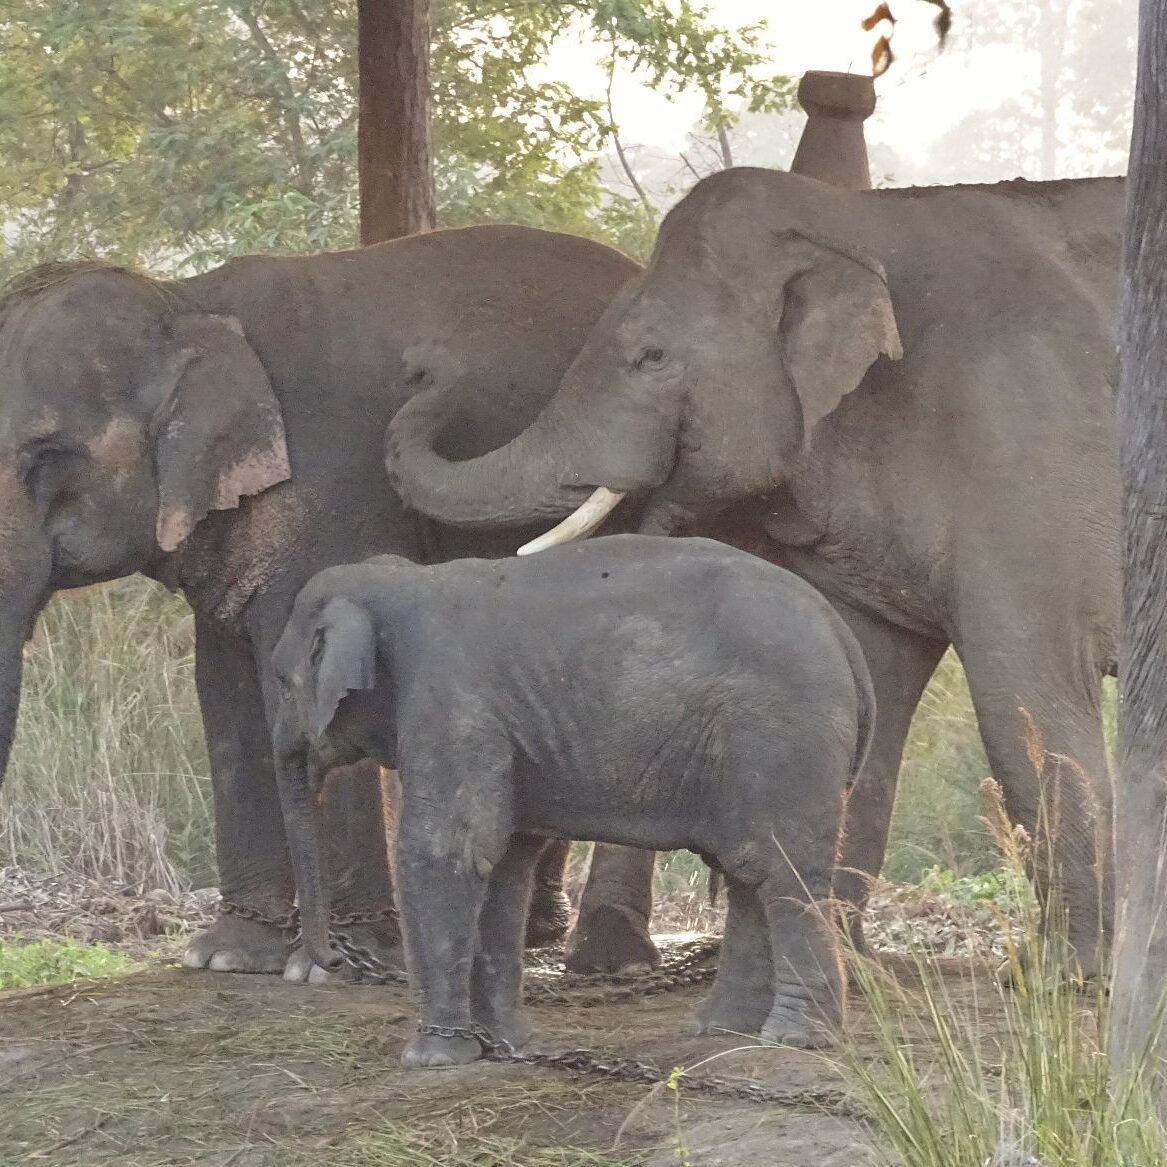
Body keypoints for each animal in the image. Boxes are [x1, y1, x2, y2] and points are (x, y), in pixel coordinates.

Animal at [0, 225, 641, 980]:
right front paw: (228, 956)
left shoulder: (333, 485)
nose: (426, 370)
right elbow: (225, 694)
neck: (185, 301)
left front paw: (339, 962)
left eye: (47, 456)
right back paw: (533, 932)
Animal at [270, 535, 874, 1065]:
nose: (331, 959)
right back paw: (722, 1030)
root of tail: (842, 634)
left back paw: (794, 1039)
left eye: (280, 682)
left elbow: (447, 853)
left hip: (779, 736)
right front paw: (505, 1048)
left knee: (781, 869)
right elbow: (505, 862)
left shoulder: (452, 706)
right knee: (748, 867)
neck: (400, 581)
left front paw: (433, 1058)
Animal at [386, 167, 1124, 980]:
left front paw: (1066, 976)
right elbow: (865, 687)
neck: (853, 218)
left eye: (650, 357)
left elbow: (1024, 699)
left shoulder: (1021, 457)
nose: (421, 362)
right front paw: (837, 963)